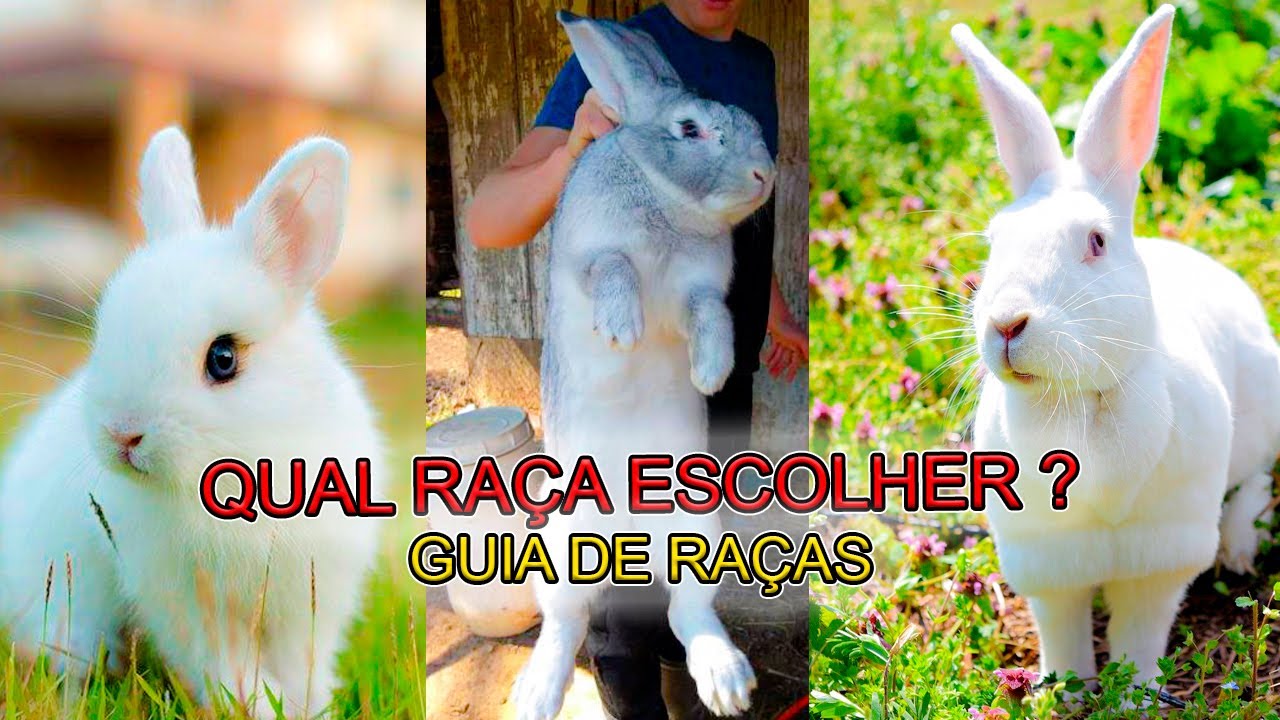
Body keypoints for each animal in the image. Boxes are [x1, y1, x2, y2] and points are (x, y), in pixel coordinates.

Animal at [0, 127, 384, 717]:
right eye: (105, 334)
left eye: (223, 358)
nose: (122, 434)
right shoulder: (187, 602)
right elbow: (225, 664)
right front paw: (259, 703)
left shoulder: (310, 598)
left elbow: (304, 662)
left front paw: (305, 706)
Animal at [508, 11, 775, 720]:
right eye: (689, 129)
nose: (764, 176)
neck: (665, 199)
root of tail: (626, 542)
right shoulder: (588, 256)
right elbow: (615, 269)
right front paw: (621, 330)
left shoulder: (697, 291)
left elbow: (710, 313)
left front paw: (710, 371)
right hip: (553, 545)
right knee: (567, 622)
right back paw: (536, 693)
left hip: (698, 530)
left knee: (687, 613)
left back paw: (725, 680)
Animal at [955, 3, 1280, 687]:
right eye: (995, 241)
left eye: (1097, 242)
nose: (1007, 324)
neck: (1081, 399)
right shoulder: (1047, 562)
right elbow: (1064, 634)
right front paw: (1068, 693)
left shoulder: (1161, 556)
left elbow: (1139, 635)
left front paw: (1133, 697)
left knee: (1257, 478)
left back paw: (1240, 548)